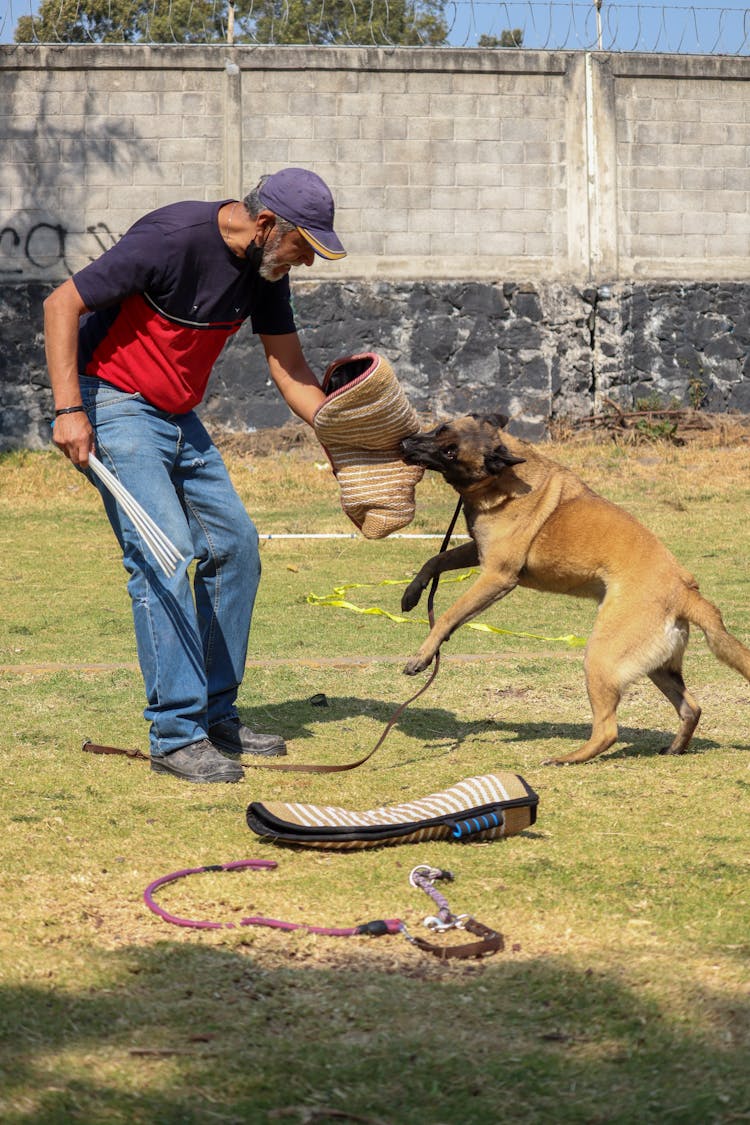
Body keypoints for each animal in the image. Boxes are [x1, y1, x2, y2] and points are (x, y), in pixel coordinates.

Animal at [402, 414, 750, 765]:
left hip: (600, 657)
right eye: (439, 429)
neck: (503, 480)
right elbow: (436, 559)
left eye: (450, 452)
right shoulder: (479, 552)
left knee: (609, 730)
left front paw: (422, 655)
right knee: (692, 708)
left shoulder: (497, 576)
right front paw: (412, 593)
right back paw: (674, 748)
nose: (405, 443)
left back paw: (567, 757)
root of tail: (685, 591)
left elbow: (449, 615)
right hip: (657, 666)